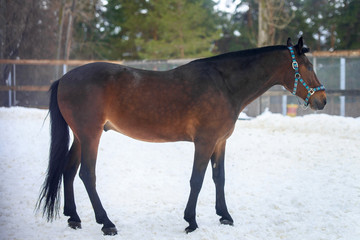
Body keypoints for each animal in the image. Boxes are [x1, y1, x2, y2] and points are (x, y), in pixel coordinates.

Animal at [35, 36, 326, 235]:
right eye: (308, 66)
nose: (322, 100)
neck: (224, 85)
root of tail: (64, 79)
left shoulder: (220, 142)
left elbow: (219, 178)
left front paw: (225, 216)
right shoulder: (204, 142)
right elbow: (197, 180)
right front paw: (191, 221)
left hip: (80, 136)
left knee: (69, 170)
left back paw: (74, 218)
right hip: (90, 135)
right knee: (87, 174)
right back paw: (106, 223)